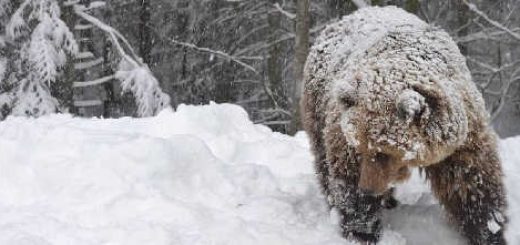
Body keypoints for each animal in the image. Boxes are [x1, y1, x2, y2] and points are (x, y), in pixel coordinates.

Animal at [300, 5, 508, 245]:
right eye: (360, 150)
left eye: (383, 152)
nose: (368, 189)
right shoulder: (343, 132)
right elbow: (346, 178)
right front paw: (362, 230)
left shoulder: (463, 135)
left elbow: (470, 182)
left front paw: (489, 230)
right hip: (317, 105)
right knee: (323, 160)